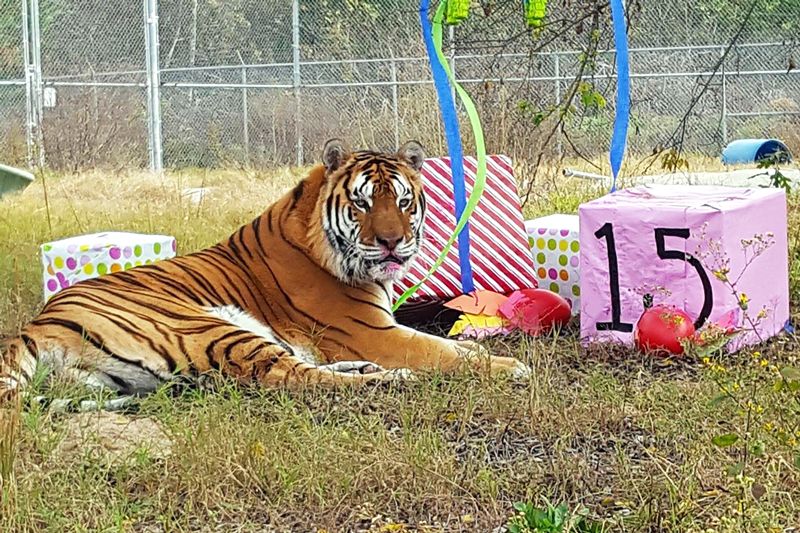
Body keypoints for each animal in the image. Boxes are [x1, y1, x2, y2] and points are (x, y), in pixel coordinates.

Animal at [0, 138, 532, 404]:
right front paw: (509, 366)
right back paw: (390, 379)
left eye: (402, 202)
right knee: (291, 378)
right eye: (362, 203)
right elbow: (447, 352)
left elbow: (455, 346)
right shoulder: (376, 332)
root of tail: (37, 324)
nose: (391, 242)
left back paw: (365, 370)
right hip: (207, 326)